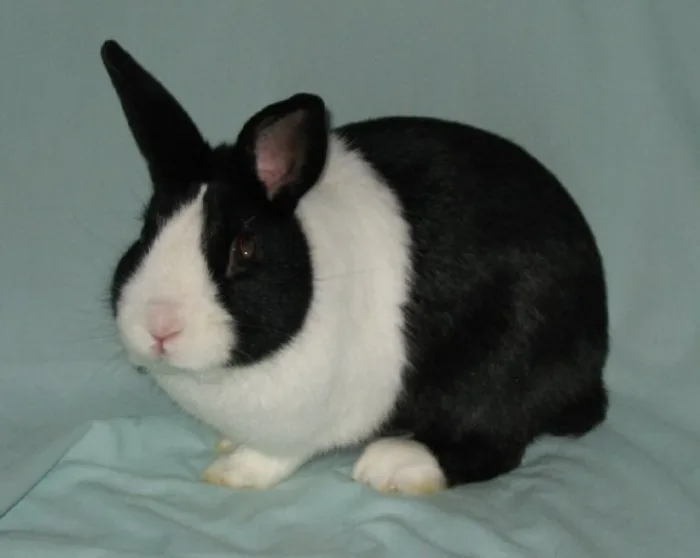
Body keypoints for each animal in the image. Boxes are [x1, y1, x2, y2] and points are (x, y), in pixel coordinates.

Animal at [101, 39, 609, 495]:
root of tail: (591, 362)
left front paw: (232, 472)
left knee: (495, 443)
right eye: (145, 230)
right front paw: (226, 444)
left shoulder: (304, 422)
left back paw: (395, 465)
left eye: (243, 249)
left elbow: (275, 455)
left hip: (506, 364)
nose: (159, 327)